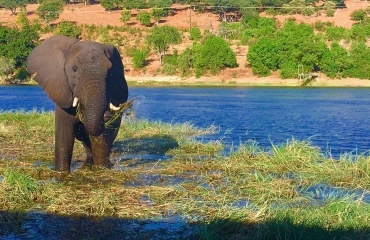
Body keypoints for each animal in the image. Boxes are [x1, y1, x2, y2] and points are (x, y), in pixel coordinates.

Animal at [26, 34, 128, 172]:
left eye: (110, 71)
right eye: (74, 69)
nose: (107, 115)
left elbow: (98, 137)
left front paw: (101, 169)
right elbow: (64, 135)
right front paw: (61, 172)